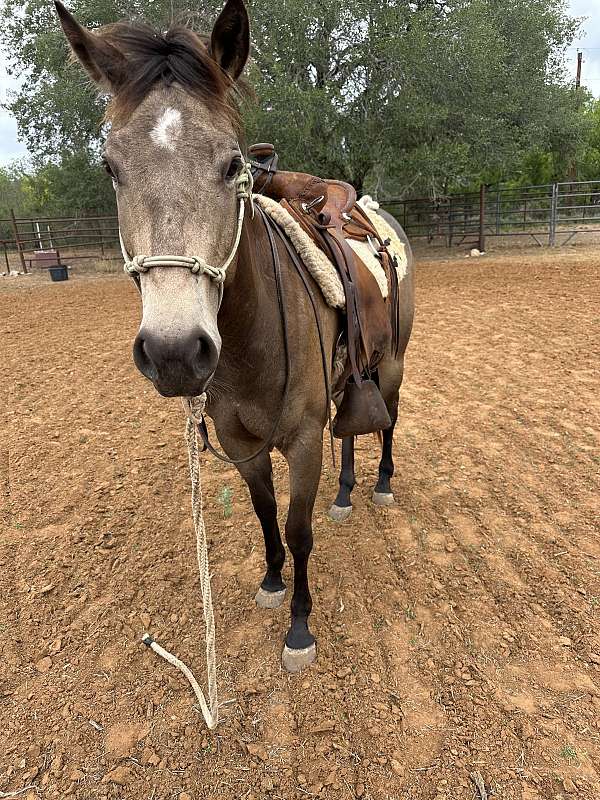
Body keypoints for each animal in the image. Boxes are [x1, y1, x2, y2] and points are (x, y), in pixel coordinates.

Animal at [55, 0, 415, 672]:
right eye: (111, 168)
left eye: (230, 164)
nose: (173, 352)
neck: (253, 340)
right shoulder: (239, 440)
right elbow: (265, 512)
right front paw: (272, 581)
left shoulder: (301, 440)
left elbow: (298, 529)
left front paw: (300, 627)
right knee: (353, 425)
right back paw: (346, 492)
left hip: (395, 361)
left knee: (389, 417)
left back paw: (378, 484)